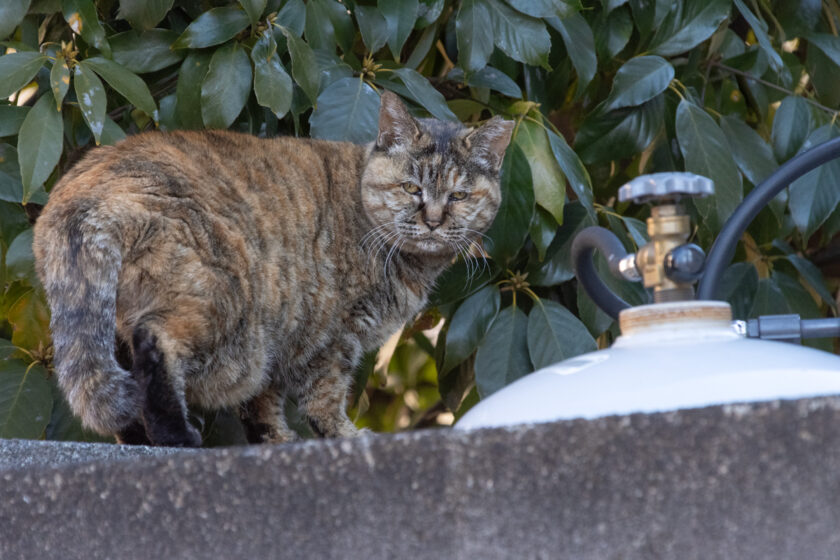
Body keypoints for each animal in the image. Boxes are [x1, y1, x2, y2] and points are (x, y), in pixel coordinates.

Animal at [32, 92, 516, 446]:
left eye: (459, 196)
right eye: (411, 188)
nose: (433, 220)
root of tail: (85, 192)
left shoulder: (281, 335)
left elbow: (262, 407)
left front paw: (277, 441)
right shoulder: (332, 336)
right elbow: (324, 400)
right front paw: (346, 437)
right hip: (221, 308)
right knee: (155, 341)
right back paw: (177, 436)